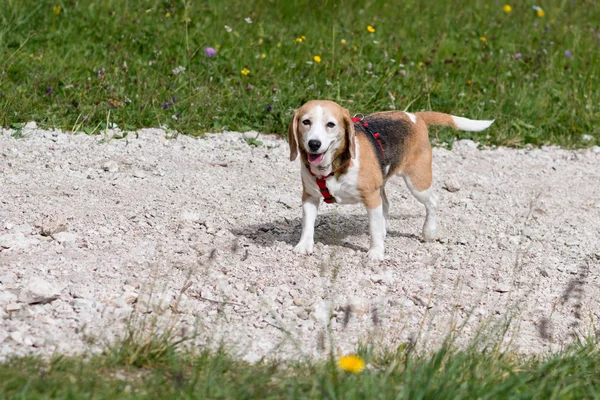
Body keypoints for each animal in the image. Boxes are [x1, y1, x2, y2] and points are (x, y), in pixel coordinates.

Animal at [288, 101, 494, 260]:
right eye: (306, 122)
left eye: (330, 124)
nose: (314, 144)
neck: (332, 167)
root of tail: (414, 116)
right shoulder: (310, 197)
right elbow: (307, 225)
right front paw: (304, 246)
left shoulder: (371, 198)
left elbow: (373, 227)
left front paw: (376, 252)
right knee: (386, 205)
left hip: (417, 182)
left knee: (432, 202)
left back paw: (428, 232)